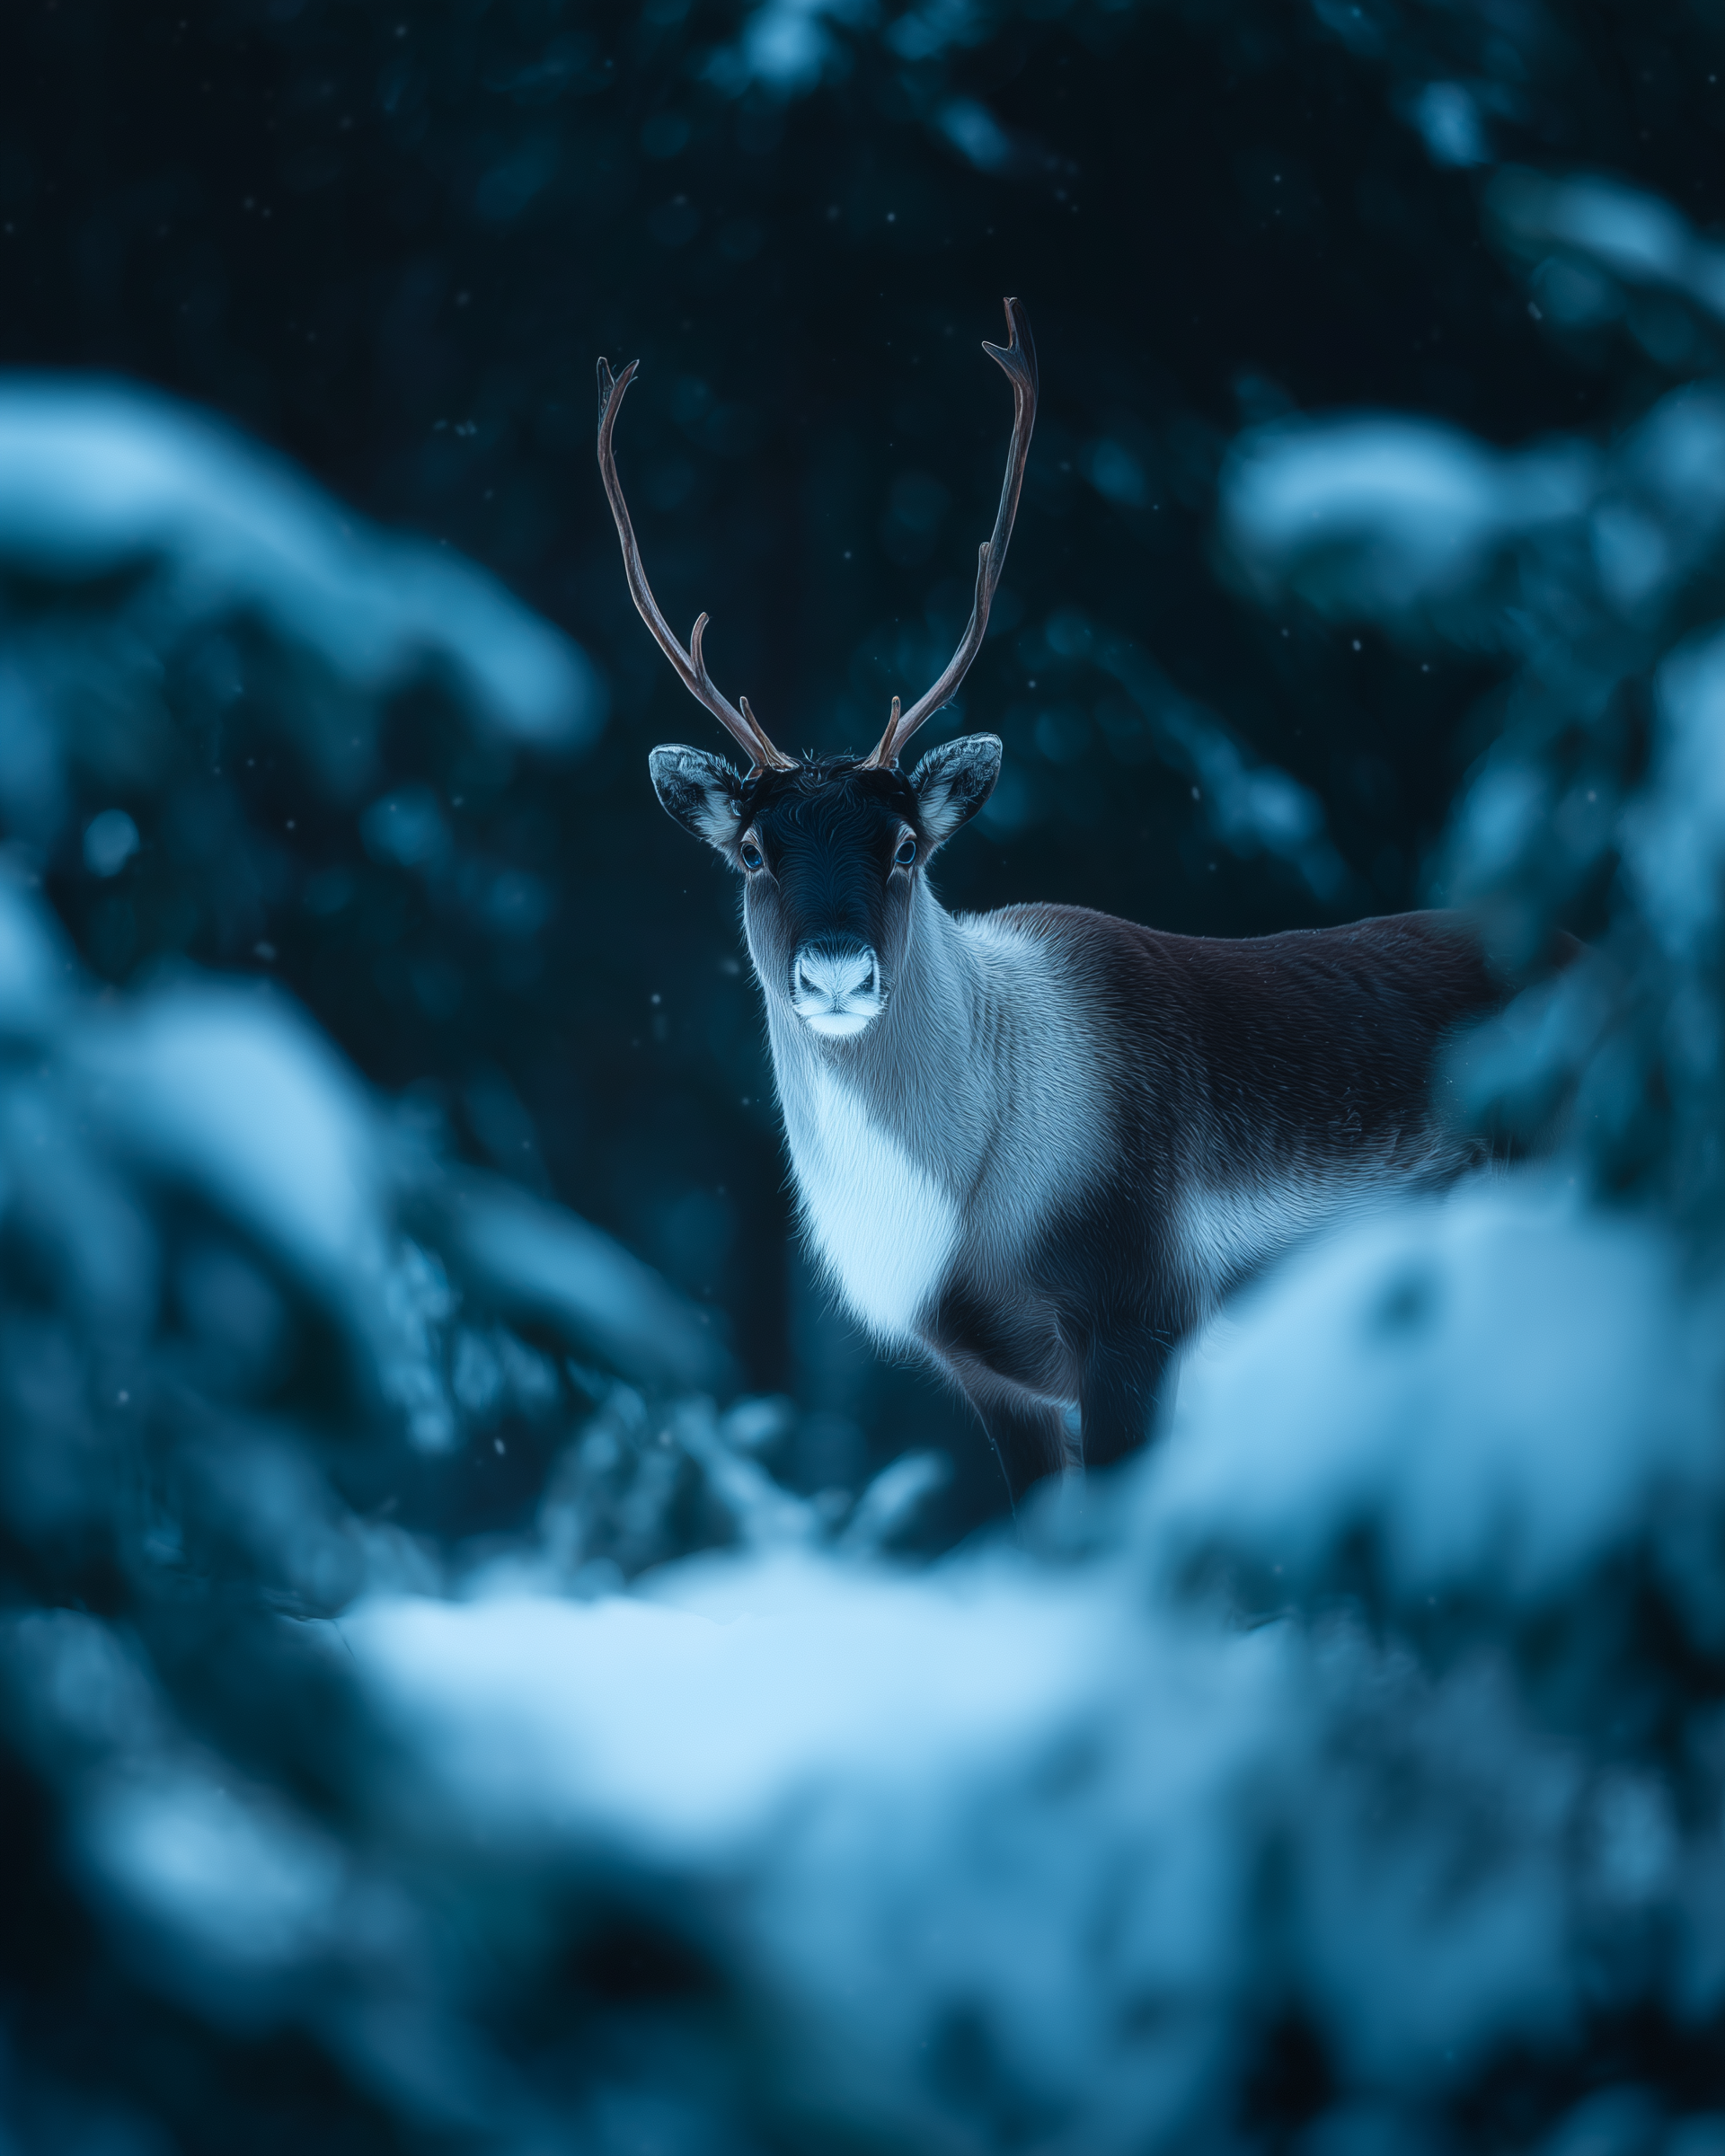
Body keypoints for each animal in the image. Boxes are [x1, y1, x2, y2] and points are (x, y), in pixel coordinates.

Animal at [596, 299, 1506, 1505]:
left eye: (908, 846)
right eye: (749, 849)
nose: (835, 970)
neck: (969, 1201)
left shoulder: (1138, 1320)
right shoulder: (996, 1379)